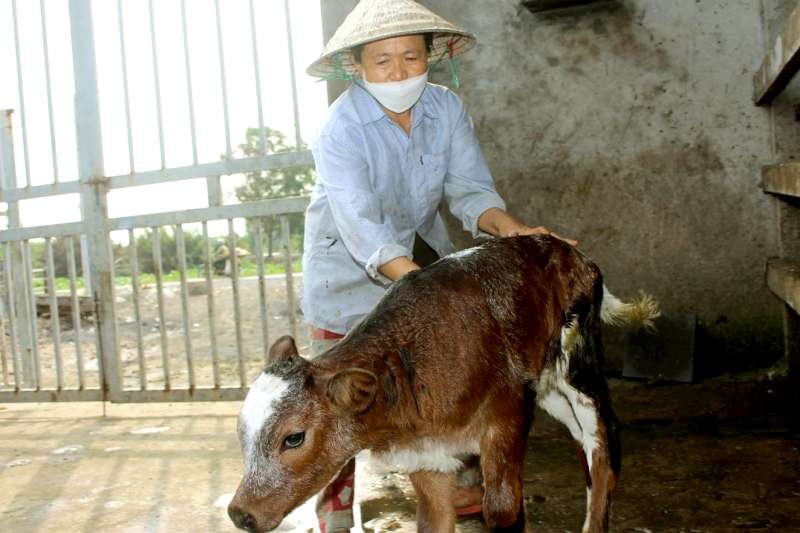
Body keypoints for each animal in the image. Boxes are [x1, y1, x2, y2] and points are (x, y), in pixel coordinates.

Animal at [225, 236, 656, 532]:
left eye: (294, 438)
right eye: (241, 434)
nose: (240, 513)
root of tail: (570, 251)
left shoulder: (508, 415)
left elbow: (502, 508)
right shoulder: (425, 455)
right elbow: (434, 519)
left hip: (578, 359)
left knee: (602, 437)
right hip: (548, 385)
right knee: (581, 436)